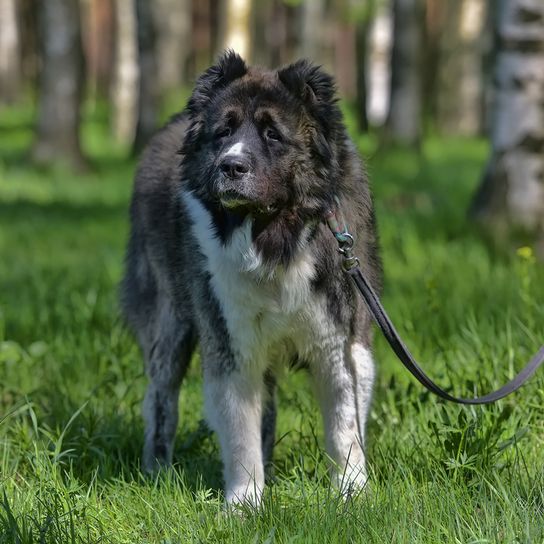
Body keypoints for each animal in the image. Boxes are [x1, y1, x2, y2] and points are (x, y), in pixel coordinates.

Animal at [120, 51, 380, 506]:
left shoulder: (342, 341)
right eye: (223, 132)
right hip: (170, 322)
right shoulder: (230, 339)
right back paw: (157, 472)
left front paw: (352, 492)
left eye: (273, 134)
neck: (275, 236)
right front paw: (245, 502)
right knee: (161, 397)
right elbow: (241, 428)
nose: (231, 165)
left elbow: (344, 425)